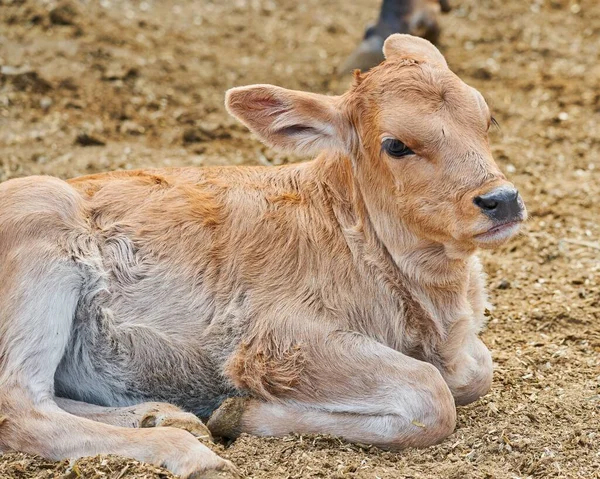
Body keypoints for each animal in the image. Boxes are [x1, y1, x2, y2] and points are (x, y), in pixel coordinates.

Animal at [0, 35, 524, 478]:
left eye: (488, 120)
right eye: (396, 145)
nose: (501, 199)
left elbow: (478, 370)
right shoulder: (275, 341)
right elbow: (431, 396)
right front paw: (238, 411)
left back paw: (161, 416)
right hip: (39, 232)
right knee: (20, 407)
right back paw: (188, 451)